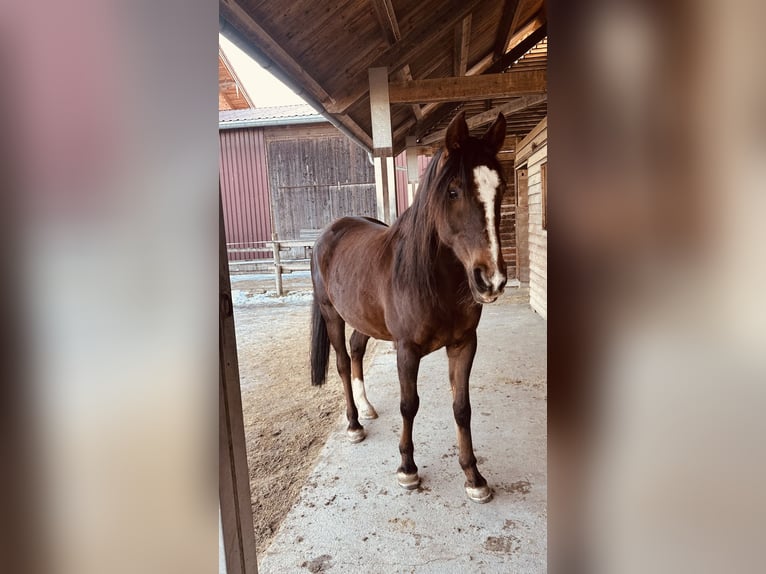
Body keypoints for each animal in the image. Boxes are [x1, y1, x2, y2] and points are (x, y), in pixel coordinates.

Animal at [309, 111, 508, 503]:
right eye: (453, 191)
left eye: (501, 188)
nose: (490, 279)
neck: (433, 281)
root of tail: (329, 232)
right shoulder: (407, 349)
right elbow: (408, 404)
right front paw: (407, 469)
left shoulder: (464, 344)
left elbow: (462, 407)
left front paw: (474, 477)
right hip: (331, 313)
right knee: (342, 362)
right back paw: (354, 423)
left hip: (363, 318)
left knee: (356, 349)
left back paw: (367, 408)